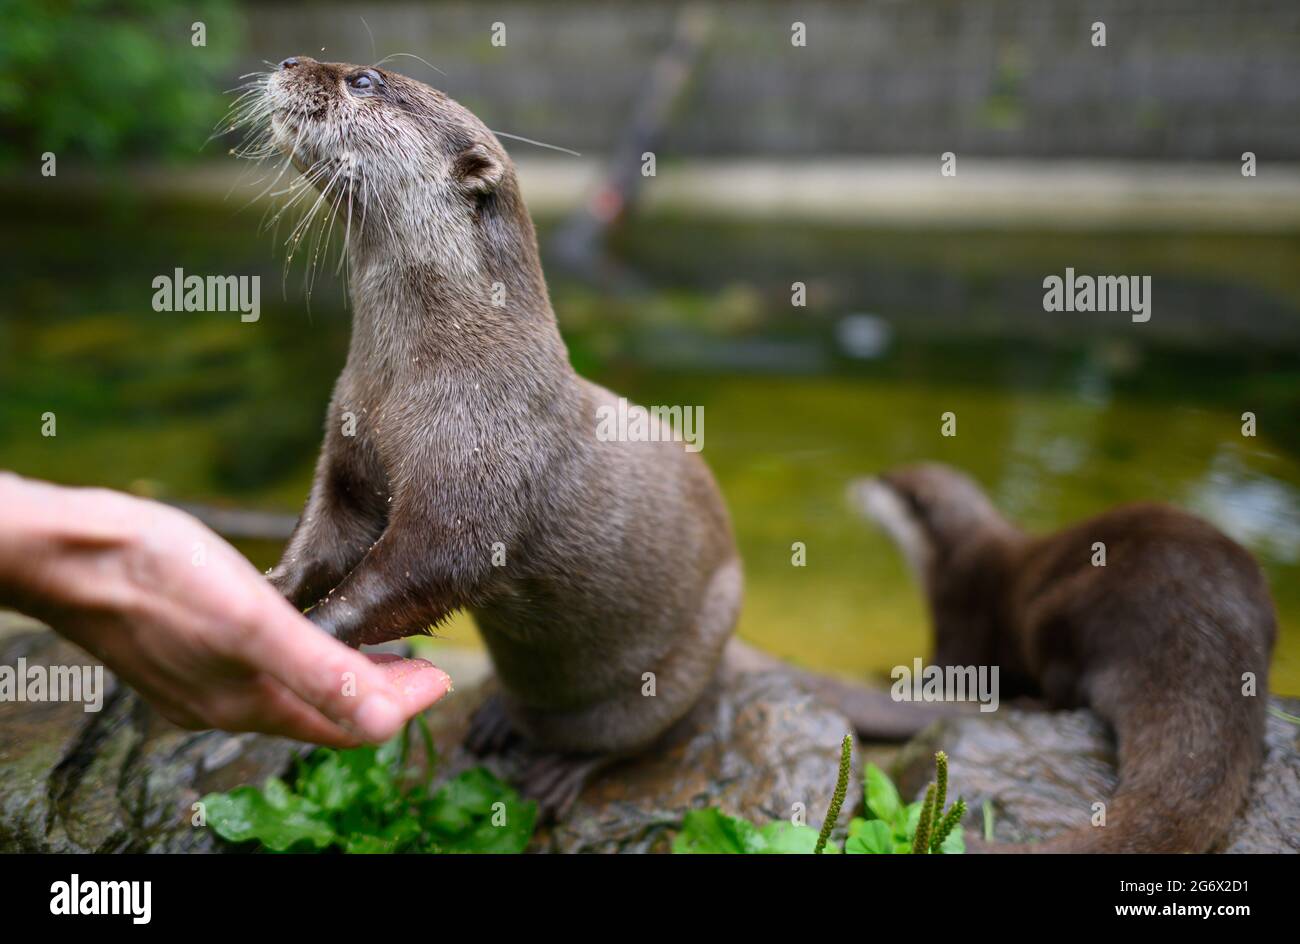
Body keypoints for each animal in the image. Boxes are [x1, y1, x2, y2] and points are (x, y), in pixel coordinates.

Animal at [244, 57, 743, 811]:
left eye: (365, 80)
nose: (289, 63)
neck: (437, 371)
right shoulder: (349, 450)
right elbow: (324, 536)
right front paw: (267, 592)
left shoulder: (477, 473)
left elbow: (422, 572)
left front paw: (312, 634)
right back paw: (496, 719)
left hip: (695, 647)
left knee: (629, 736)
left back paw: (556, 772)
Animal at [857, 465, 1274, 858]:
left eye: (886, 479)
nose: (860, 482)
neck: (952, 559)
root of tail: (1208, 635)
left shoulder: (961, 618)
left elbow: (945, 671)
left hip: (1060, 613)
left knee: (1064, 690)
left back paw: (1027, 703)